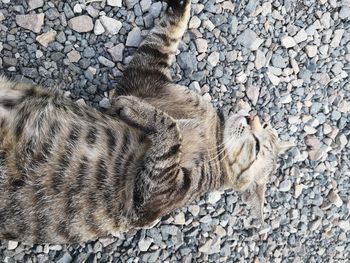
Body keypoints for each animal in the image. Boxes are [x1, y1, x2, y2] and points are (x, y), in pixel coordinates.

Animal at [0, 0, 292, 245]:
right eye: (264, 127)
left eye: (257, 145)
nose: (250, 117)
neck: (213, 131)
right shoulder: (146, 79)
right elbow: (164, 37)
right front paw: (182, 7)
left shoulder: (151, 198)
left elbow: (170, 130)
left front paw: (137, 111)